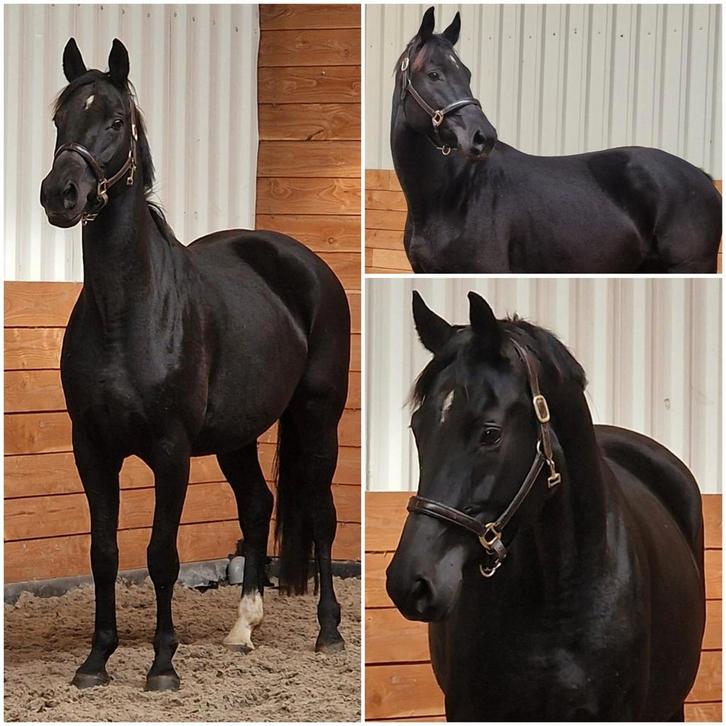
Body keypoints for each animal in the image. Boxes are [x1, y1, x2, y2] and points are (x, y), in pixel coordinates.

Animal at [39, 38, 350, 691]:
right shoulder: (92, 448)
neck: (127, 312)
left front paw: (162, 665)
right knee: (257, 504)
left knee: (321, 513)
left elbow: (161, 555)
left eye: (116, 121)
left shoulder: (171, 449)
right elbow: (103, 552)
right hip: (236, 435)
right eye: (59, 120)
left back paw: (329, 632)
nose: (61, 195)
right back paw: (242, 629)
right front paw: (96, 660)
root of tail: (306, 264)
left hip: (317, 420)